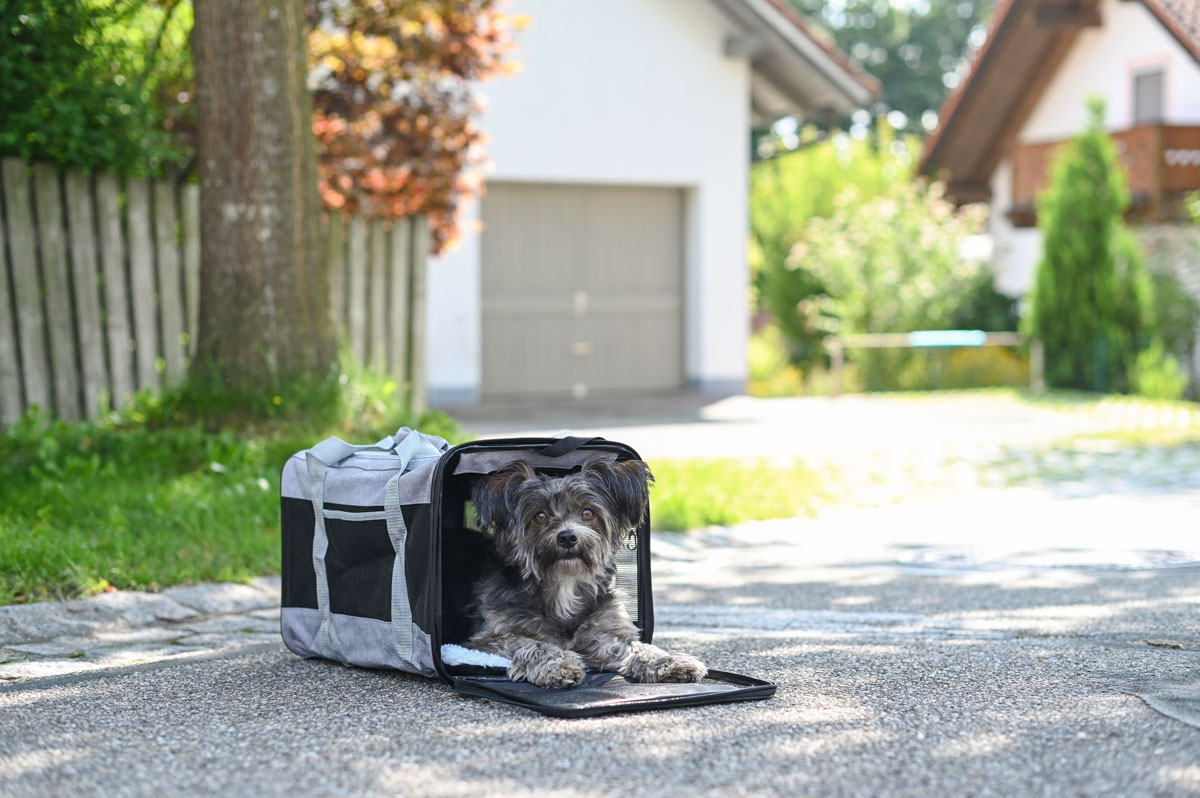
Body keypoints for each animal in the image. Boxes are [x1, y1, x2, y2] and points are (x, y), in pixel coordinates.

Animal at [456, 458, 700, 686]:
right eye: (540, 516)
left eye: (588, 512)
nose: (567, 537)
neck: (565, 582)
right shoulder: (488, 639)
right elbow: (534, 643)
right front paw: (556, 665)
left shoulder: (602, 634)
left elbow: (636, 647)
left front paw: (668, 661)